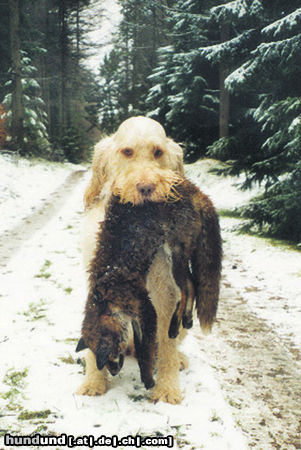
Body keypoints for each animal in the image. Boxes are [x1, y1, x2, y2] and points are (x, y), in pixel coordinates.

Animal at [75, 117, 220, 404]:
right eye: (127, 152)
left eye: (158, 152)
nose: (146, 188)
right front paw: (93, 381)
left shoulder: (163, 295)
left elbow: (166, 345)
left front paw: (167, 388)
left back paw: (177, 359)